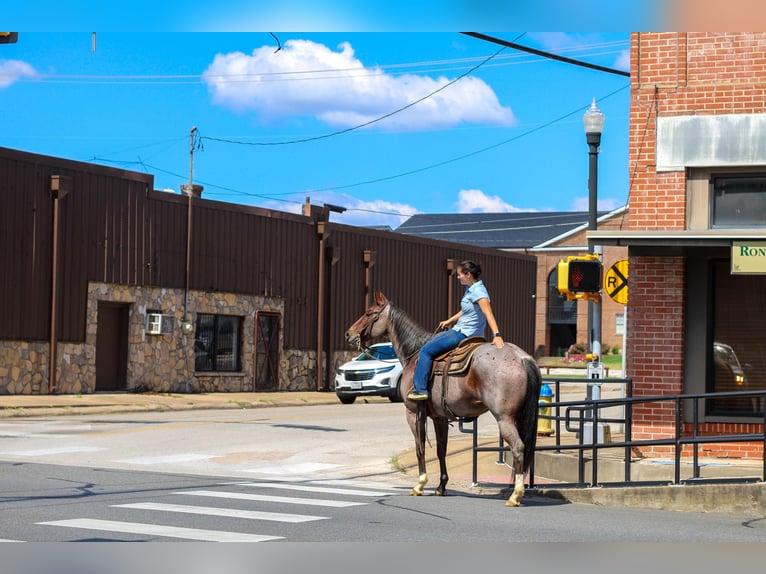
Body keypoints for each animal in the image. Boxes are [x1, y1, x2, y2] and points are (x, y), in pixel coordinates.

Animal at [344, 294, 544, 506]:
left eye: (369, 313)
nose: (348, 334)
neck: (415, 354)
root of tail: (522, 358)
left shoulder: (414, 413)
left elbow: (420, 447)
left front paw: (420, 484)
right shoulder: (440, 418)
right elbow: (441, 450)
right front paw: (441, 486)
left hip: (504, 418)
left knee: (518, 446)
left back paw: (516, 494)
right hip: (519, 416)